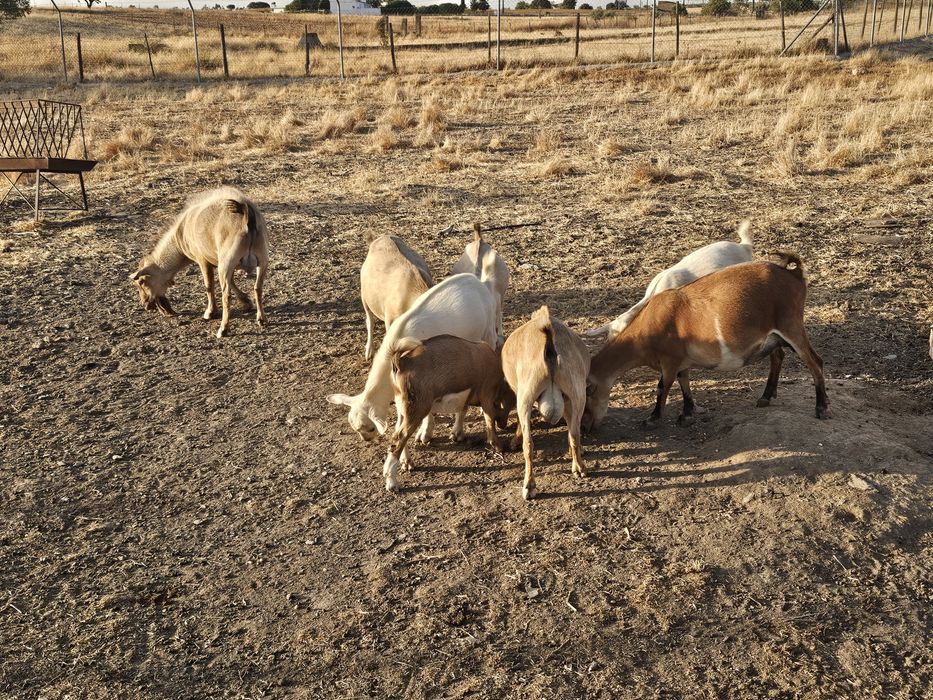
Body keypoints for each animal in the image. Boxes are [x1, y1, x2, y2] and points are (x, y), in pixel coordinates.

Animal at [131, 186, 268, 338]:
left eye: (141, 282)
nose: (146, 304)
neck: (181, 234)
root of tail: (246, 216)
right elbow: (232, 282)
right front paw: (246, 302)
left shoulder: (203, 260)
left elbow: (209, 286)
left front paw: (210, 312)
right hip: (261, 259)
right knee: (258, 288)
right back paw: (261, 319)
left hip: (227, 262)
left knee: (226, 296)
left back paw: (223, 329)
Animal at [382, 335, 511, 492]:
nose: (503, 425)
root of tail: (401, 362)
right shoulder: (487, 394)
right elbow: (489, 418)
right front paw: (497, 444)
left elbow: (463, 410)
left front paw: (457, 434)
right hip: (417, 408)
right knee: (399, 438)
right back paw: (392, 482)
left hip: (403, 408)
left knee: (398, 433)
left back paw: (407, 462)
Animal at [501, 306, 590, 500]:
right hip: (576, 394)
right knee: (574, 433)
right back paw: (579, 467)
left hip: (526, 397)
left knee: (528, 444)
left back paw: (529, 486)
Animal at [582, 255, 829, 433]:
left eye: (588, 394)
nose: (585, 428)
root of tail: (794, 274)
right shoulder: (681, 361)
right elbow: (684, 381)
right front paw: (687, 413)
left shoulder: (670, 360)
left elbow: (663, 387)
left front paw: (652, 419)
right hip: (774, 336)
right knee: (778, 356)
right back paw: (766, 397)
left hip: (791, 325)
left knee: (815, 362)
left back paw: (822, 408)